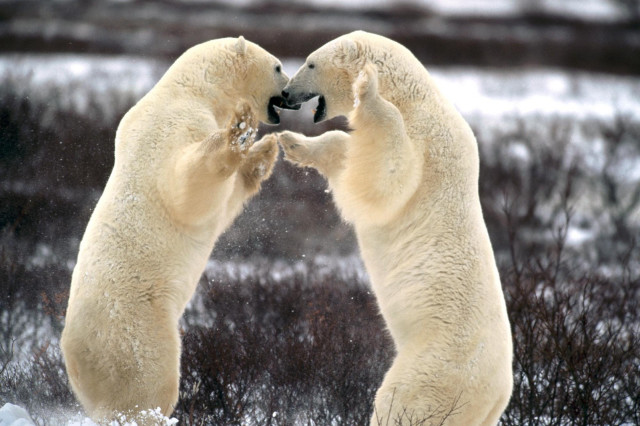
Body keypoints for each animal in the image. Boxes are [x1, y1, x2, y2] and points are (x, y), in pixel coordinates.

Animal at [60, 36, 291, 423]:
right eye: (277, 66)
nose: (290, 92)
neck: (193, 90)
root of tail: (72, 356)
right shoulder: (173, 127)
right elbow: (189, 188)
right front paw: (239, 130)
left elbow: (227, 201)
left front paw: (265, 150)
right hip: (134, 327)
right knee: (148, 381)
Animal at [278, 31, 513, 425]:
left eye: (310, 63)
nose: (285, 94)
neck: (414, 101)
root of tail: (497, 397)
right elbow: (348, 151)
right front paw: (292, 143)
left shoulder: (429, 148)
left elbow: (388, 176)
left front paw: (367, 87)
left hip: (435, 370)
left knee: (400, 403)